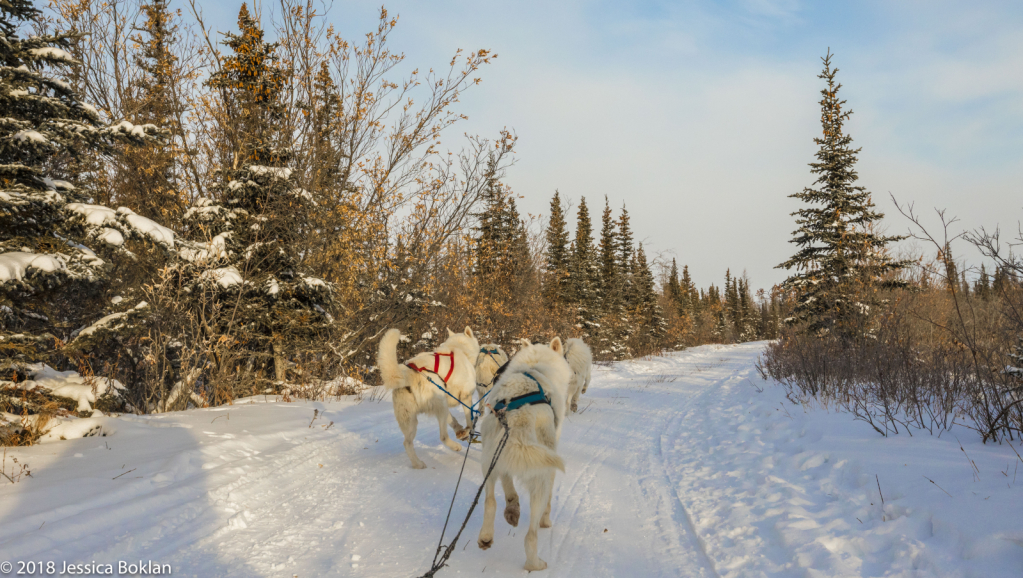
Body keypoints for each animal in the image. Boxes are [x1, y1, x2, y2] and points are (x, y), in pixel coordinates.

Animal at [378, 325, 480, 468]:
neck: (459, 348)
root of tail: (408, 374)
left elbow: (452, 420)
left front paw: (460, 431)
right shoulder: (465, 397)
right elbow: (469, 420)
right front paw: (467, 431)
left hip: (411, 420)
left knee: (407, 443)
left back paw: (418, 464)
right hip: (439, 405)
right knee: (443, 437)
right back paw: (455, 446)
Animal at [474, 335, 572, 568]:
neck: (537, 366)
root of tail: (520, 414)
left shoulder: (503, 457)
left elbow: (509, 487)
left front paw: (513, 508)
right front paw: (545, 520)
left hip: (489, 460)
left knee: (490, 501)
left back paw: (486, 536)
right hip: (541, 472)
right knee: (531, 535)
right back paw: (535, 564)